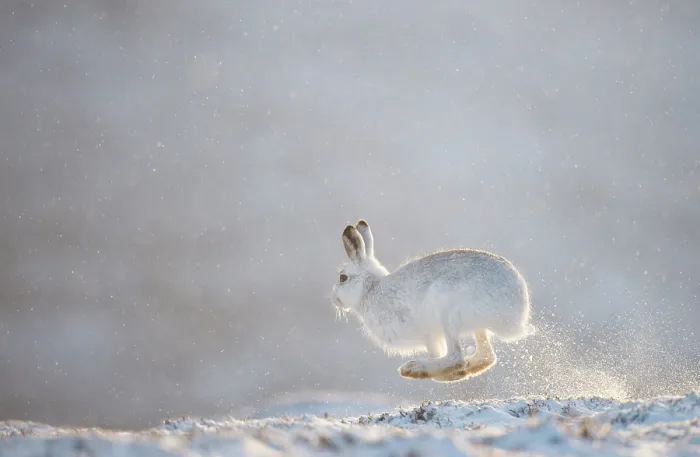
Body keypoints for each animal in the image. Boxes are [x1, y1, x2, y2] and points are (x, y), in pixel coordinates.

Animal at [330, 219, 533, 383]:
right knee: (486, 356)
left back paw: (415, 369)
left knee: (456, 357)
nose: (334, 299)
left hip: (447, 311)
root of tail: (518, 315)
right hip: (475, 326)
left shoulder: (428, 333)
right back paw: (464, 369)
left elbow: (436, 353)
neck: (370, 289)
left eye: (342, 278)